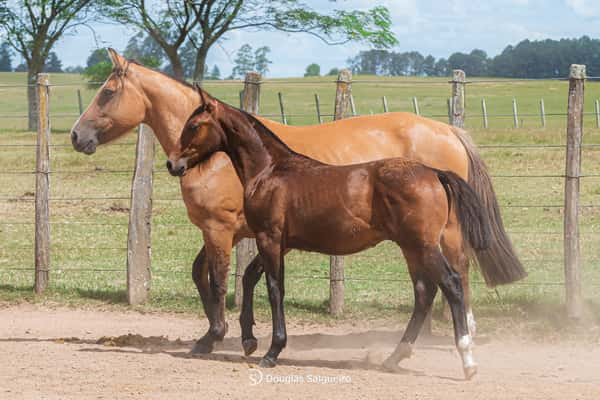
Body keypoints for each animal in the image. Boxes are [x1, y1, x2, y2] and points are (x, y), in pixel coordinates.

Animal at [166, 93, 490, 378]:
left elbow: (273, 289)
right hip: (411, 248)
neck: (270, 170)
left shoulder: (269, 238)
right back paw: (395, 357)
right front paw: (250, 341)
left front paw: (271, 352)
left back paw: (468, 361)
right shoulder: (279, 243)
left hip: (424, 245)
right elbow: (255, 279)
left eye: (194, 125)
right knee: (424, 292)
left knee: (452, 284)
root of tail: (435, 173)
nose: (173, 164)